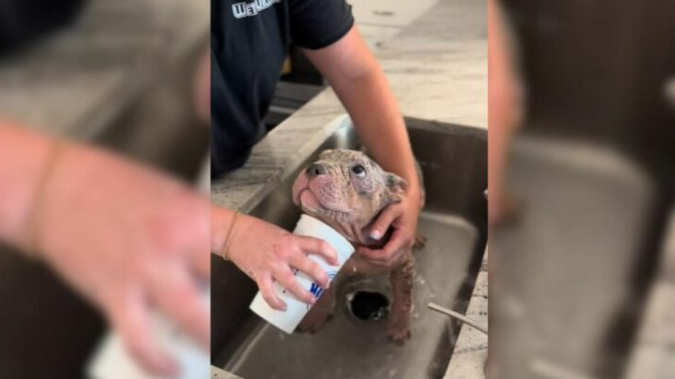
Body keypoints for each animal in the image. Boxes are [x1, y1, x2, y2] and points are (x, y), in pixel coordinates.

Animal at [290, 149, 422, 344]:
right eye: (317, 158)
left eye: (359, 170)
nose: (314, 167)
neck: (349, 236)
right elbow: (323, 292)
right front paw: (316, 315)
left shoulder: (402, 264)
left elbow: (403, 299)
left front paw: (399, 327)